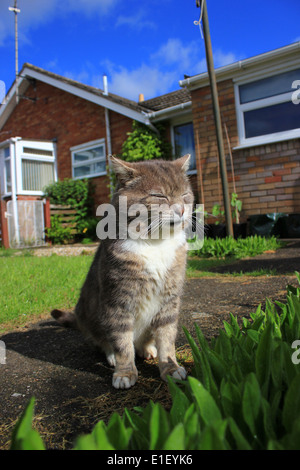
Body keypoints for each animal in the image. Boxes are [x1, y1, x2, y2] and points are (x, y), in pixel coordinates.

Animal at [51, 155, 195, 390]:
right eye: (159, 195)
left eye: (185, 195)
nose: (182, 210)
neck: (156, 243)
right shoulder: (117, 299)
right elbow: (121, 342)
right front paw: (125, 372)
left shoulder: (169, 299)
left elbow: (166, 338)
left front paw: (170, 368)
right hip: (89, 316)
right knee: (103, 341)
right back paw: (111, 356)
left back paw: (147, 349)